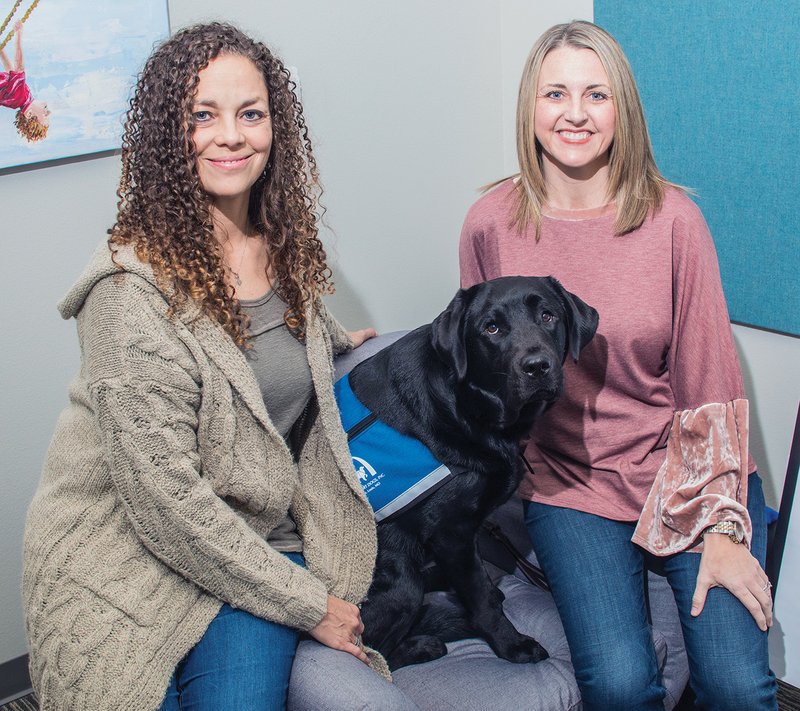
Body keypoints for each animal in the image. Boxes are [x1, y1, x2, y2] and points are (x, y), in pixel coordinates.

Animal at [346, 276, 596, 672]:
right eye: (491, 328)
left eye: (548, 315)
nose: (537, 367)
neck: (469, 407)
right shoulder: (451, 531)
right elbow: (481, 599)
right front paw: (512, 645)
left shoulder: (467, 531)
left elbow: (478, 575)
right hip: (400, 581)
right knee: (376, 653)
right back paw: (423, 645)